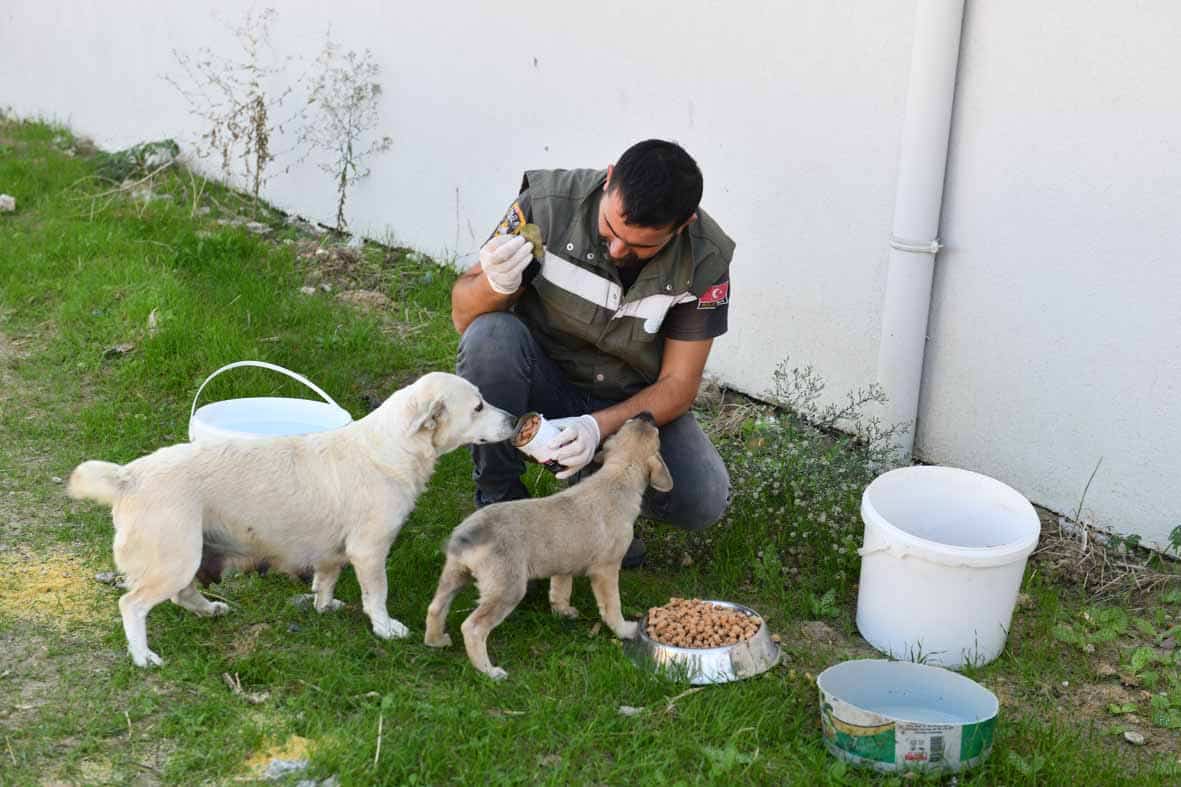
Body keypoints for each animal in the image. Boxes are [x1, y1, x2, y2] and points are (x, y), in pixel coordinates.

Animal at [67, 371, 514, 666]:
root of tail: (129, 477)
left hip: (187, 557)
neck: (391, 446)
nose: (514, 418)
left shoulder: (334, 554)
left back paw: (209, 611)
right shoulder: (369, 551)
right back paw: (143, 655)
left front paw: (324, 606)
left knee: (181, 595)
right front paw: (385, 628)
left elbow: (326, 582)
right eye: (478, 406)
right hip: (175, 559)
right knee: (132, 604)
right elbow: (377, 595)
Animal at [425, 413, 670, 675]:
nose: (647, 414)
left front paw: (562, 611)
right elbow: (612, 606)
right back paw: (489, 671)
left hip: (454, 575)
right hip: (506, 590)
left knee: (436, 607)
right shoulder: (606, 570)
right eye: (656, 433)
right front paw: (624, 630)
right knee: (472, 627)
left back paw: (435, 641)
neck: (618, 474)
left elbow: (560, 590)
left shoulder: (563, 565)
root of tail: (470, 531)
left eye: (629, 422)